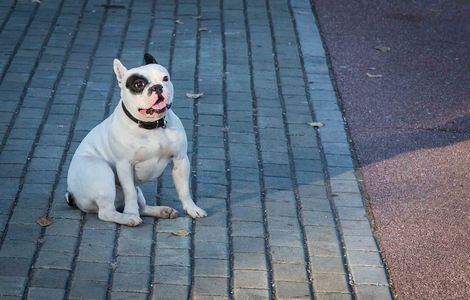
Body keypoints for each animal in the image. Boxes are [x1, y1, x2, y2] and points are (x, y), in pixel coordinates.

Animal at [65, 54, 207, 226]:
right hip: (102, 173)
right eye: (139, 84)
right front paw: (131, 213)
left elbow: (184, 189)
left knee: (142, 206)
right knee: (106, 212)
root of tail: (72, 194)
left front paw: (192, 208)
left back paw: (162, 211)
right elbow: (130, 192)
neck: (152, 126)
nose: (157, 87)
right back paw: (128, 218)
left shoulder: (180, 160)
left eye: (165, 78)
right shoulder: (125, 165)